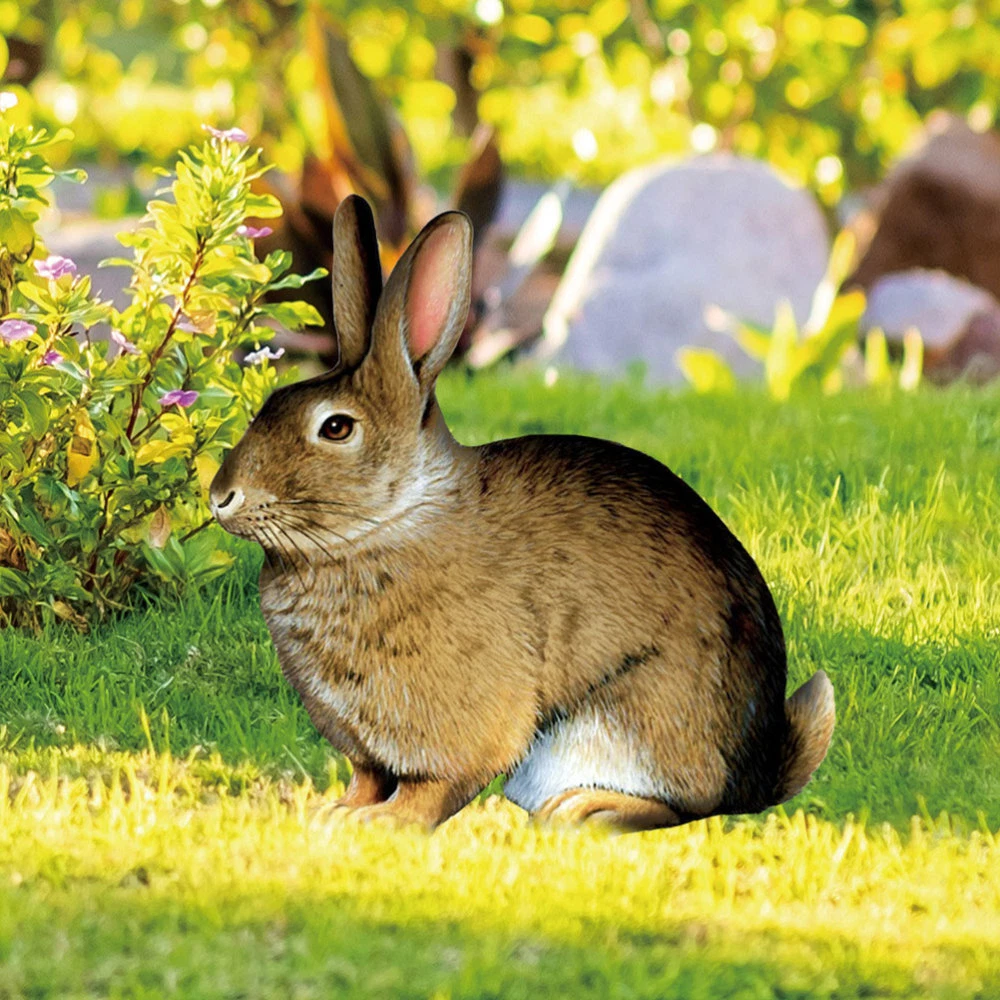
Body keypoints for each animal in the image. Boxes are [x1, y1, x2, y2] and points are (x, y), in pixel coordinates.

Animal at [209, 194, 835, 832]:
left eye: (336, 428)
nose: (221, 496)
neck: (393, 520)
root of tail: (758, 772)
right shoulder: (368, 747)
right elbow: (368, 776)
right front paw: (336, 812)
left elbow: (433, 787)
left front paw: (386, 824)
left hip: (631, 719)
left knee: (689, 801)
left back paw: (585, 808)